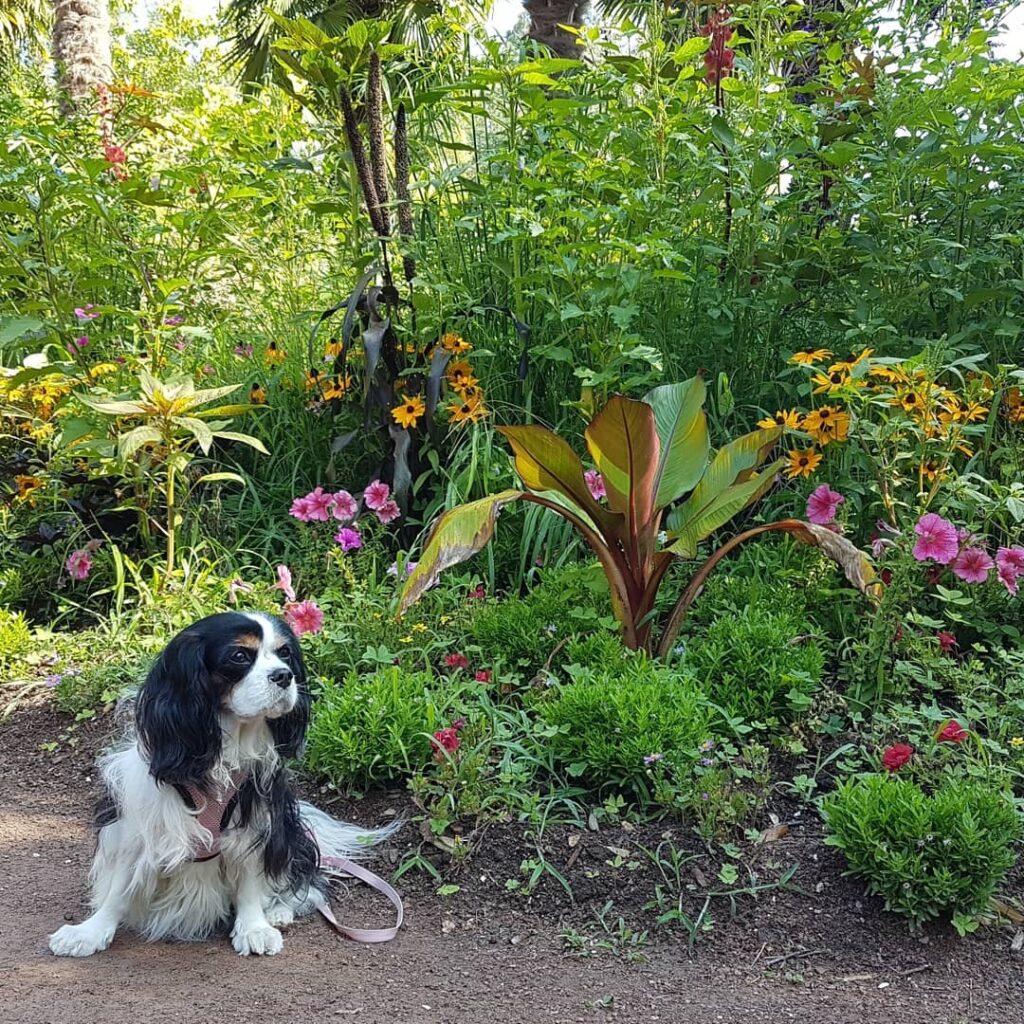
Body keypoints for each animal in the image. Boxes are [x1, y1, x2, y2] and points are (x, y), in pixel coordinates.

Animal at [49, 610, 397, 954]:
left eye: (285, 653)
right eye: (239, 656)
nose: (284, 675)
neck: (226, 745)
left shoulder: (258, 819)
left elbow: (252, 879)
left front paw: (254, 927)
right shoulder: (139, 824)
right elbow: (118, 888)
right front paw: (91, 932)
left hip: (290, 834)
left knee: (306, 884)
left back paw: (279, 911)